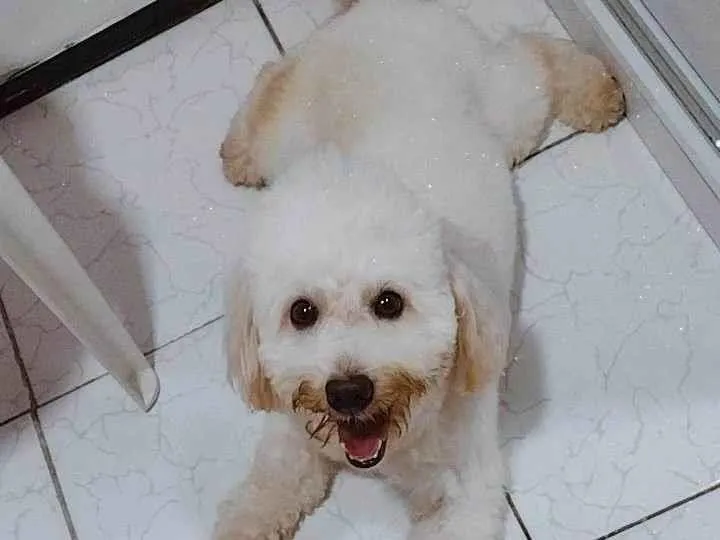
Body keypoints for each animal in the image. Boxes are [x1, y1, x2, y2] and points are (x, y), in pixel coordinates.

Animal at [215, 0, 624, 538]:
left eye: (389, 303)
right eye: (302, 312)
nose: (347, 391)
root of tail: (377, 8)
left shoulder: (465, 490)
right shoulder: (291, 433)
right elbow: (265, 489)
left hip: (506, 100)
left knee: (533, 52)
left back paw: (595, 89)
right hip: (290, 131)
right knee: (272, 79)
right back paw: (237, 149)